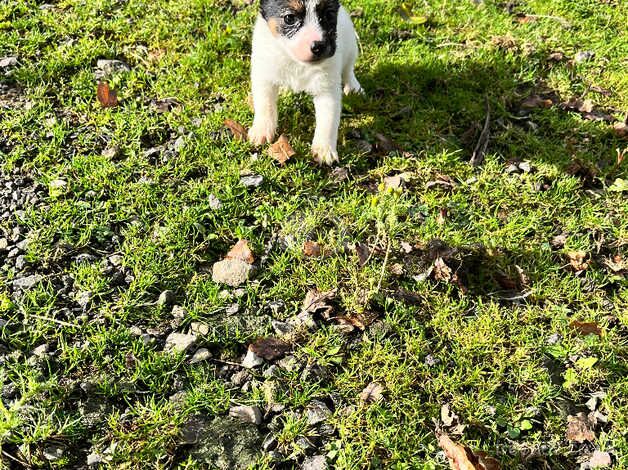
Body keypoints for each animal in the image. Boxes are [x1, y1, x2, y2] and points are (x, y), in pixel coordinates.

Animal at [248, 0, 360, 165]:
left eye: (329, 14)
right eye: (289, 18)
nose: (319, 46)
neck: (296, 62)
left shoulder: (327, 89)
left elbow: (328, 120)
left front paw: (324, 149)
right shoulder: (264, 76)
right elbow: (265, 105)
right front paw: (261, 130)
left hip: (351, 46)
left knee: (348, 69)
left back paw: (353, 87)